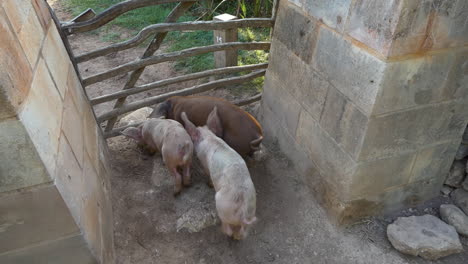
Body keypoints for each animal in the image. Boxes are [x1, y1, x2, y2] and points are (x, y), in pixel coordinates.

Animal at [181, 106, 258, 239]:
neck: (209, 137)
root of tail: (243, 211)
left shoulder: (204, 161)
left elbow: (207, 172)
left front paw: (208, 184)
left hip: (221, 204)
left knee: (228, 228)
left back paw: (222, 230)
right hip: (251, 209)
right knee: (242, 233)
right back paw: (237, 237)